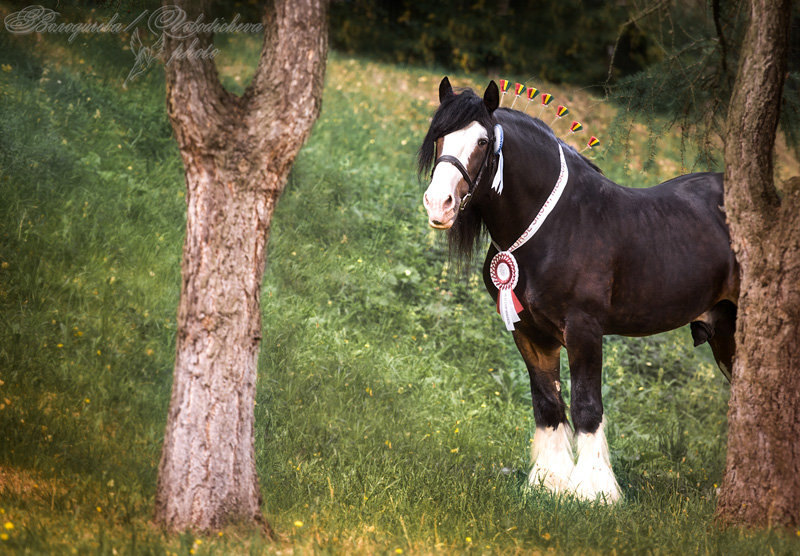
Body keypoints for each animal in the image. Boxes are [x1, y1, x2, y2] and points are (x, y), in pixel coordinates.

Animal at [418, 78, 736, 504]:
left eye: (483, 141)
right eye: (439, 136)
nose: (439, 204)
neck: (558, 224)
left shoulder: (584, 329)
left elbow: (586, 405)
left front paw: (595, 491)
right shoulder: (529, 332)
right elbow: (548, 403)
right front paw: (549, 482)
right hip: (724, 332)